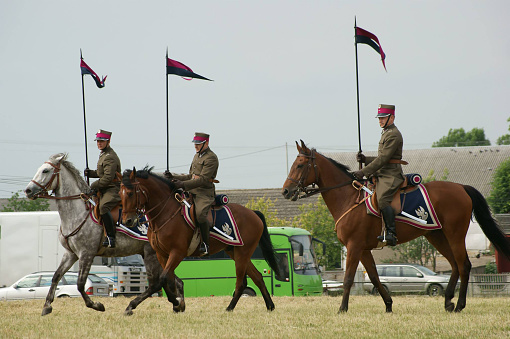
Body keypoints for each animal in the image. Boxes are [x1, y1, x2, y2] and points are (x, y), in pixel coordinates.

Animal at [24, 154, 185, 316]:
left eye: (45, 170)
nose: (28, 191)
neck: (78, 213)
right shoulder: (71, 254)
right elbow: (56, 276)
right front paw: (47, 306)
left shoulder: (86, 254)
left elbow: (80, 284)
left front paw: (97, 305)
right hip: (155, 255)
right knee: (172, 280)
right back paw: (177, 304)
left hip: (151, 254)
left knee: (156, 283)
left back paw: (137, 306)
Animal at [119, 167, 278, 314]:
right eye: (120, 194)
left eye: (131, 193)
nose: (128, 221)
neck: (166, 214)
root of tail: (253, 213)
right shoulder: (161, 254)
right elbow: (168, 280)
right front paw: (177, 304)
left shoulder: (177, 253)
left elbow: (163, 279)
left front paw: (176, 302)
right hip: (235, 252)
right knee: (257, 277)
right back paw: (269, 306)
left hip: (242, 253)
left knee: (241, 282)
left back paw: (230, 308)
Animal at [282, 141, 510, 314]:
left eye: (300, 165)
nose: (286, 191)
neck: (349, 198)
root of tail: (461, 187)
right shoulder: (363, 249)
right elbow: (374, 277)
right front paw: (389, 305)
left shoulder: (354, 246)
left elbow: (347, 279)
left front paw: (342, 309)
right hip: (436, 236)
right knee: (454, 265)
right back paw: (448, 302)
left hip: (454, 234)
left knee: (464, 265)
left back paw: (459, 305)